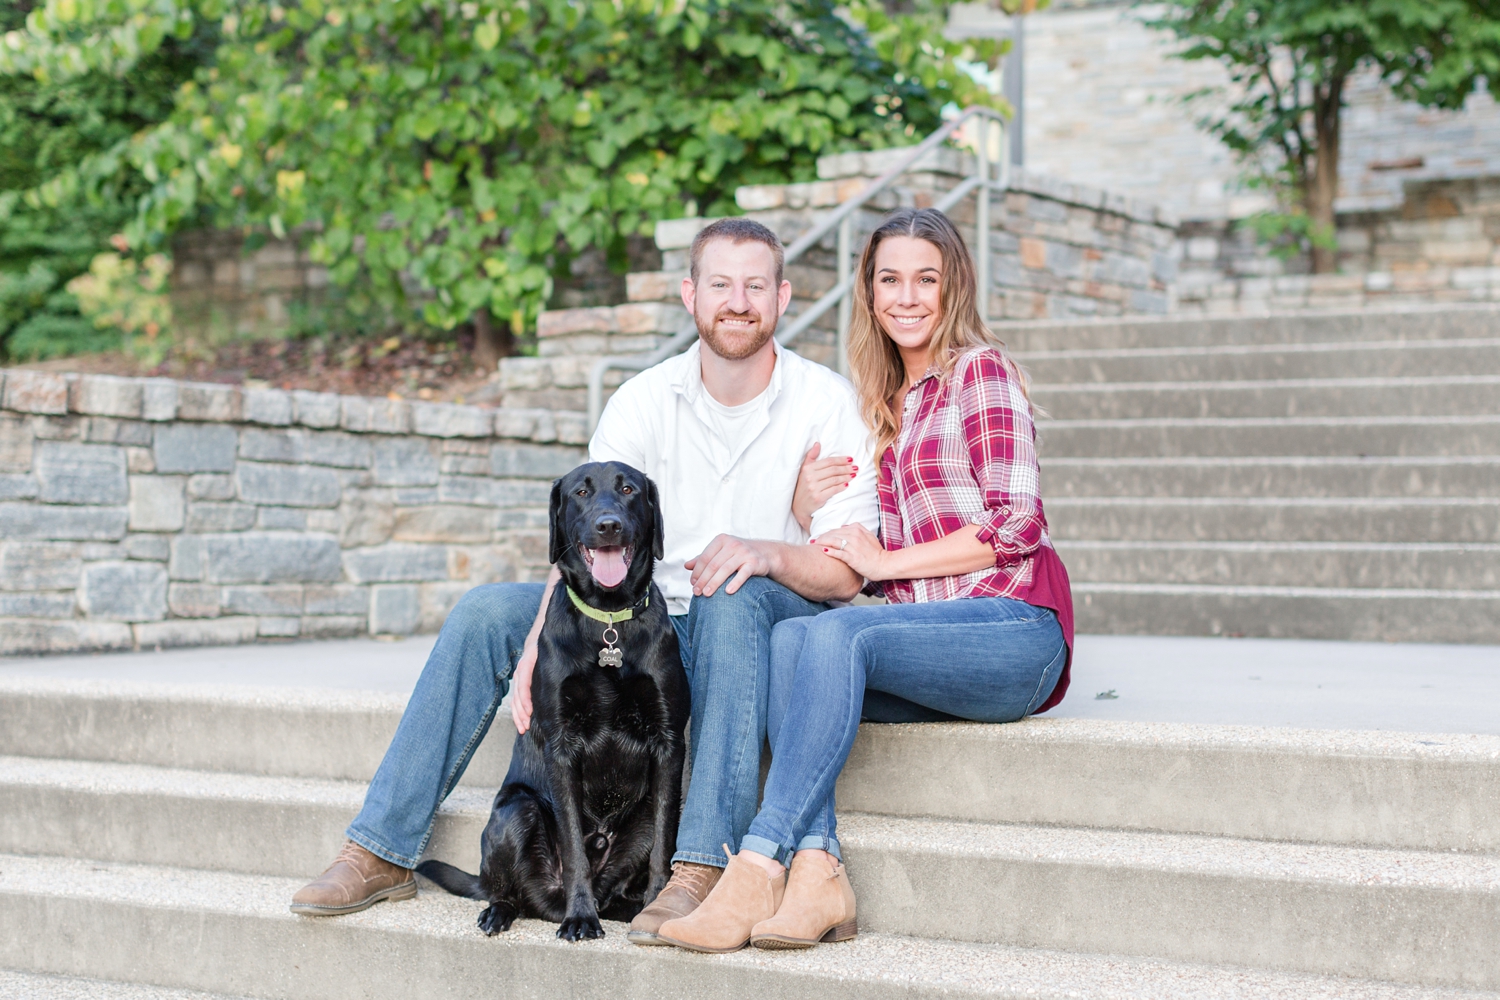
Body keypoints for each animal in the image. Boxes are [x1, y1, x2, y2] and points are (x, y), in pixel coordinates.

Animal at [417, 464, 687, 941]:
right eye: (581, 492)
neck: (608, 622)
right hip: (516, 812)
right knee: (511, 891)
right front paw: (580, 919)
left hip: (639, 819)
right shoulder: (562, 747)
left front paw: (656, 906)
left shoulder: (669, 743)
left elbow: (664, 846)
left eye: (629, 489)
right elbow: (574, 847)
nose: (608, 525)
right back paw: (505, 911)